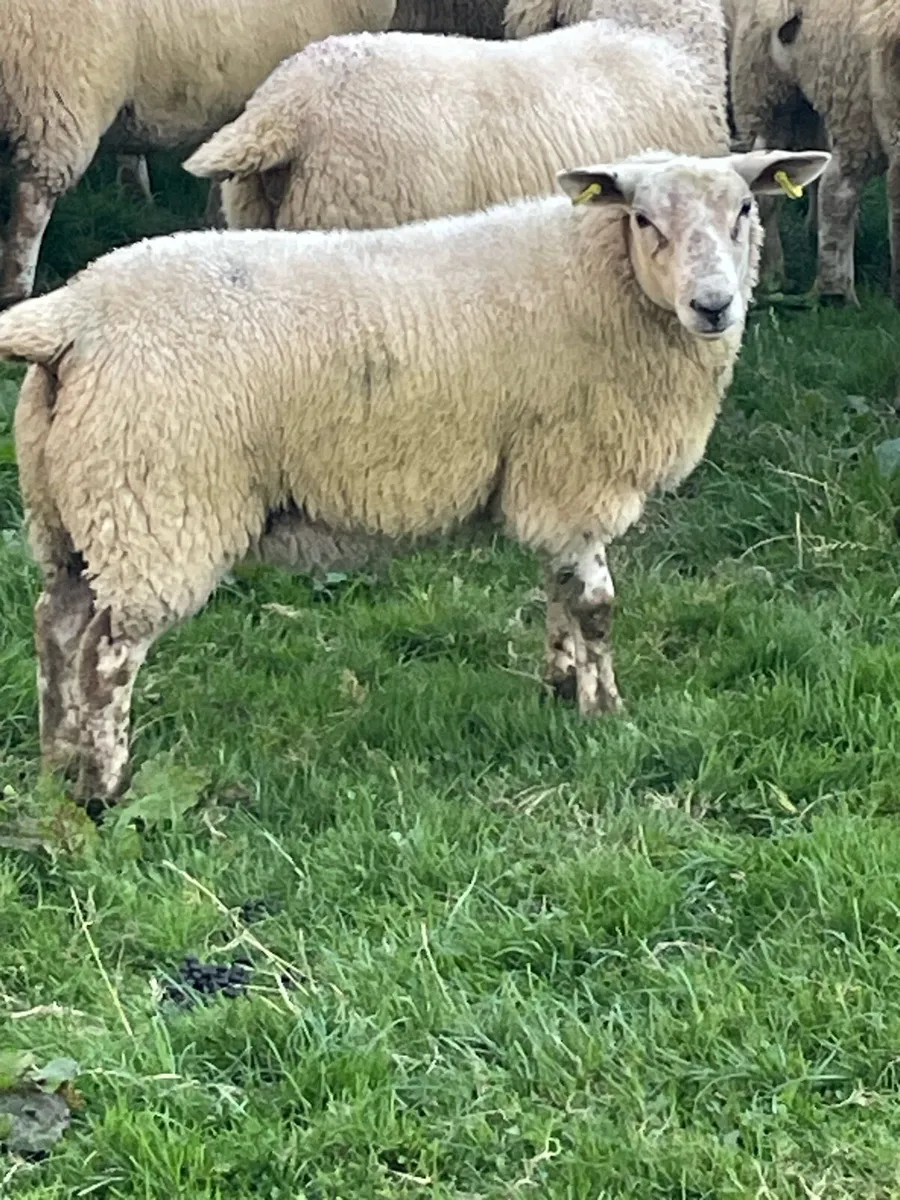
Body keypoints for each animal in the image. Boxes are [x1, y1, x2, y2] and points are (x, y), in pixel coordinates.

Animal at [0, 147, 829, 805]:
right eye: (645, 220)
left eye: (745, 210)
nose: (713, 305)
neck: (605, 281)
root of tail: (73, 314)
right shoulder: (574, 472)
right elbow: (595, 606)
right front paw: (606, 713)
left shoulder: (547, 481)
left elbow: (558, 590)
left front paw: (562, 686)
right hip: (155, 505)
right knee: (106, 657)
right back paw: (103, 786)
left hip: (70, 507)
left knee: (55, 626)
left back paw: (57, 763)